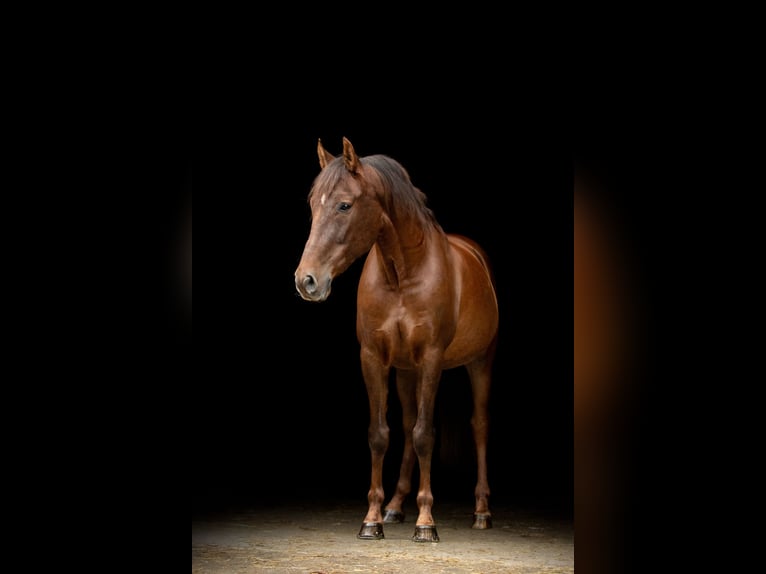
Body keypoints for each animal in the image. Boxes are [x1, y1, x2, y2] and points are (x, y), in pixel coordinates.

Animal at [292, 137, 498, 544]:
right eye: (312, 206)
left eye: (344, 204)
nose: (306, 280)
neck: (401, 275)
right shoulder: (374, 357)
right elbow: (381, 434)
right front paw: (372, 518)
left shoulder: (432, 359)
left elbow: (425, 435)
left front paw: (426, 523)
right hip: (405, 371)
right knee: (405, 423)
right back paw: (395, 506)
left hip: (479, 362)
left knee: (479, 425)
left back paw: (481, 511)